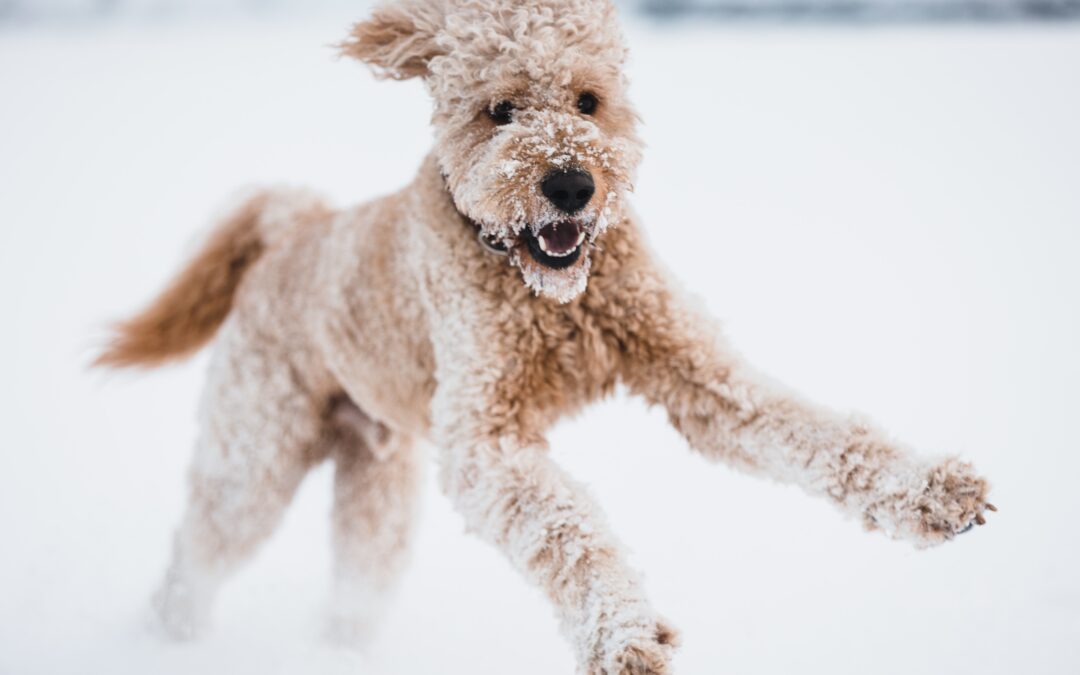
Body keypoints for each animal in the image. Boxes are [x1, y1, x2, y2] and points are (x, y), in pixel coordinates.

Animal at [99, 2, 993, 669]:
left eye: (588, 100)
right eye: (500, 110)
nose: (570, 183)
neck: (558, 299)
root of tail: (289, 229)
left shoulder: (698, 372)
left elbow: (817, 431)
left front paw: (931, 490)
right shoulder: (487, 440)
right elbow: (571, 533)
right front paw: (624, 631)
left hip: (377, 482)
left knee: (356, 580)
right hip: (253, 455)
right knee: (195, 558)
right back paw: (165, 641)